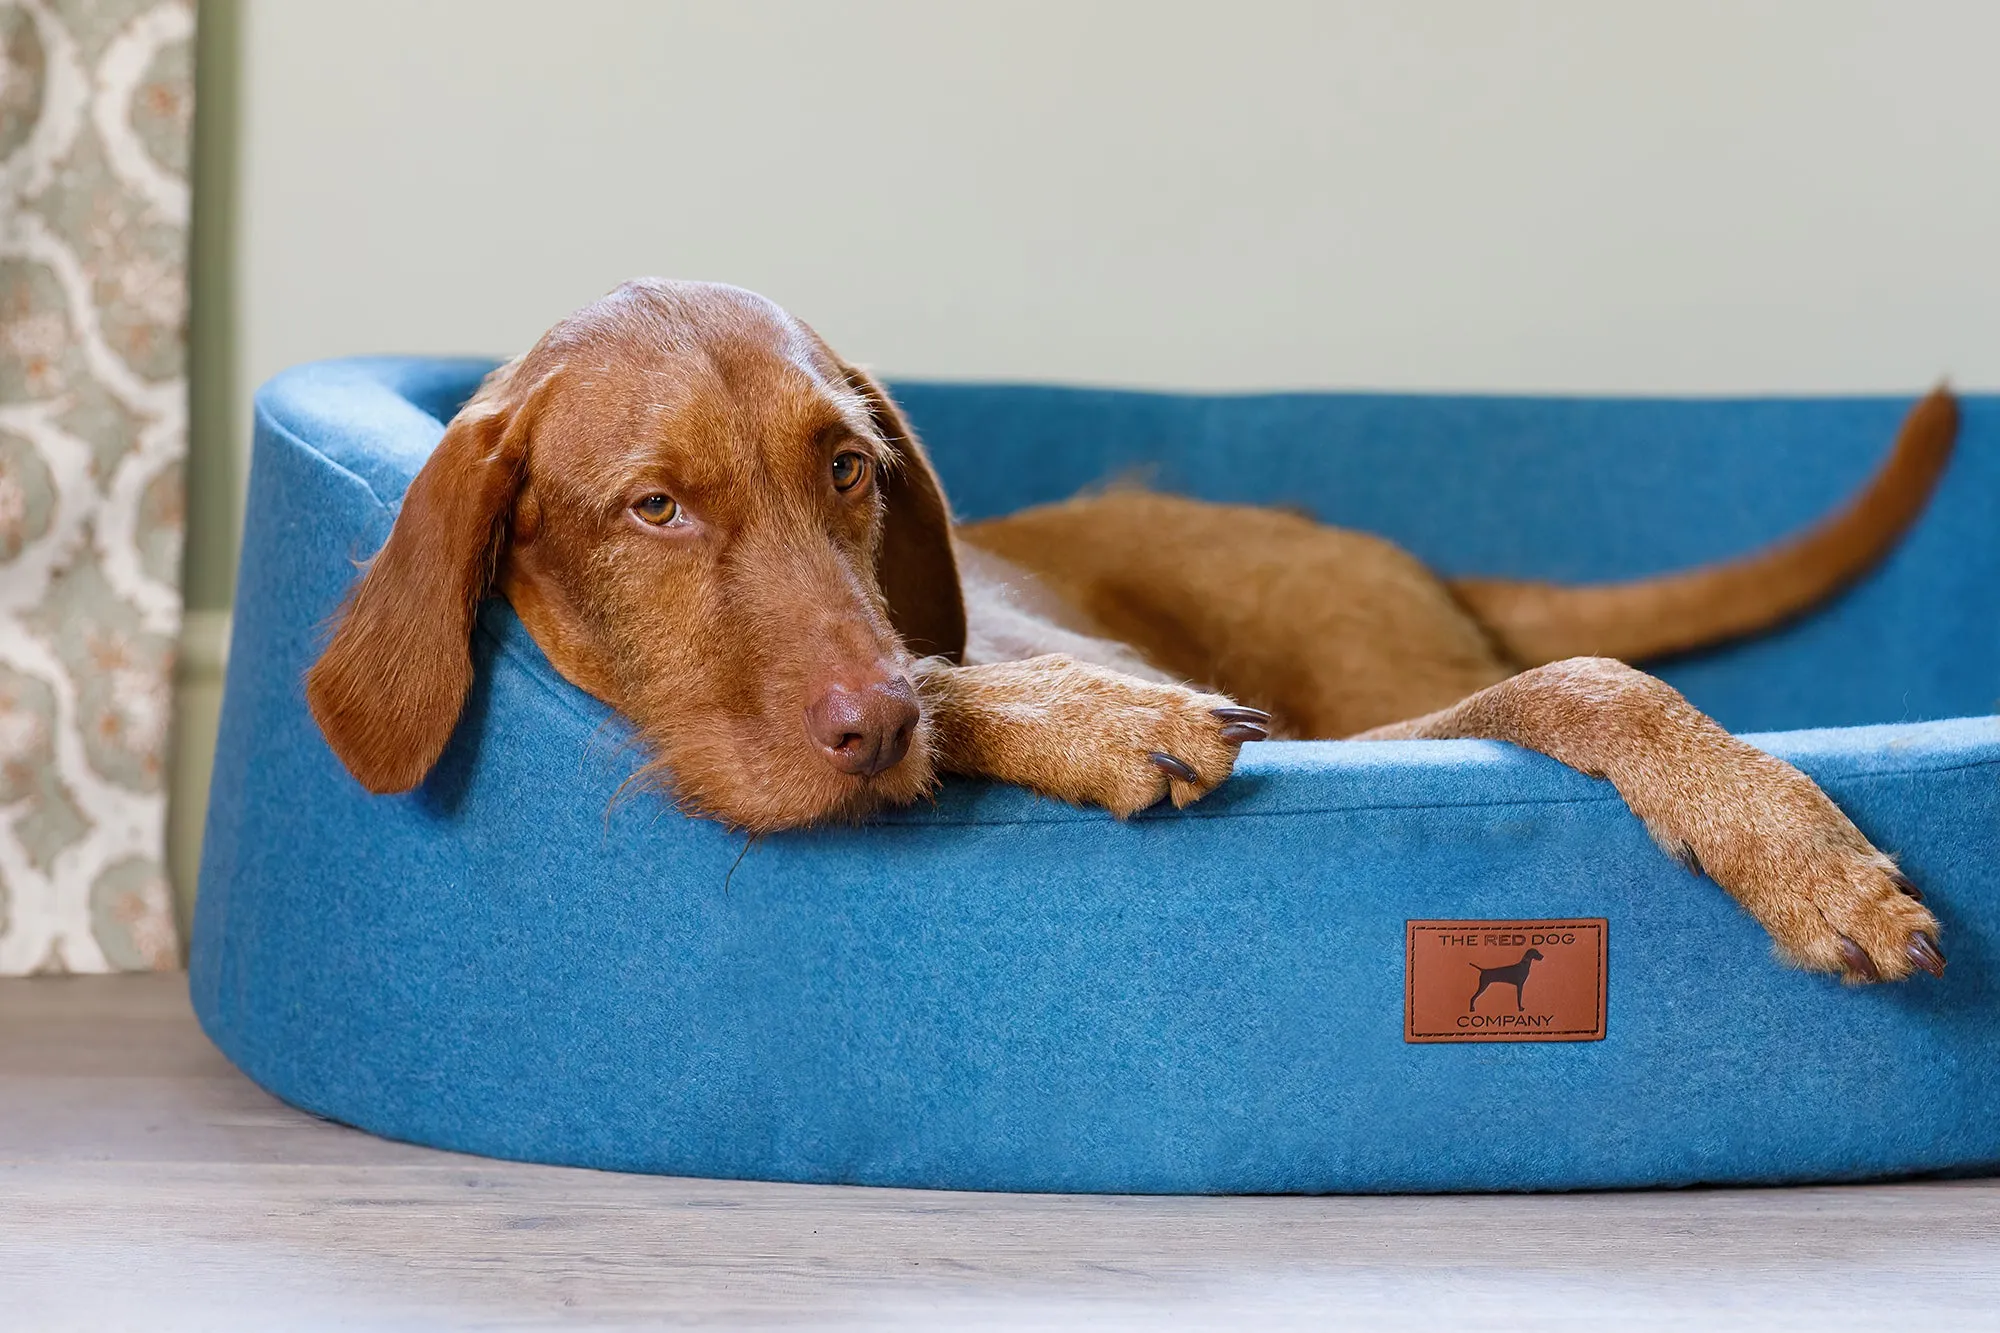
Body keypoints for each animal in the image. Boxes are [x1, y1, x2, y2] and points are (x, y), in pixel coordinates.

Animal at [308, 280, 1952, 980]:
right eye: (651, 507)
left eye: (846, 467)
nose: (873, 726)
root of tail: (1413, 556)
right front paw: (1066, 722)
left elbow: (1591, 682)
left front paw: (1790, 843)